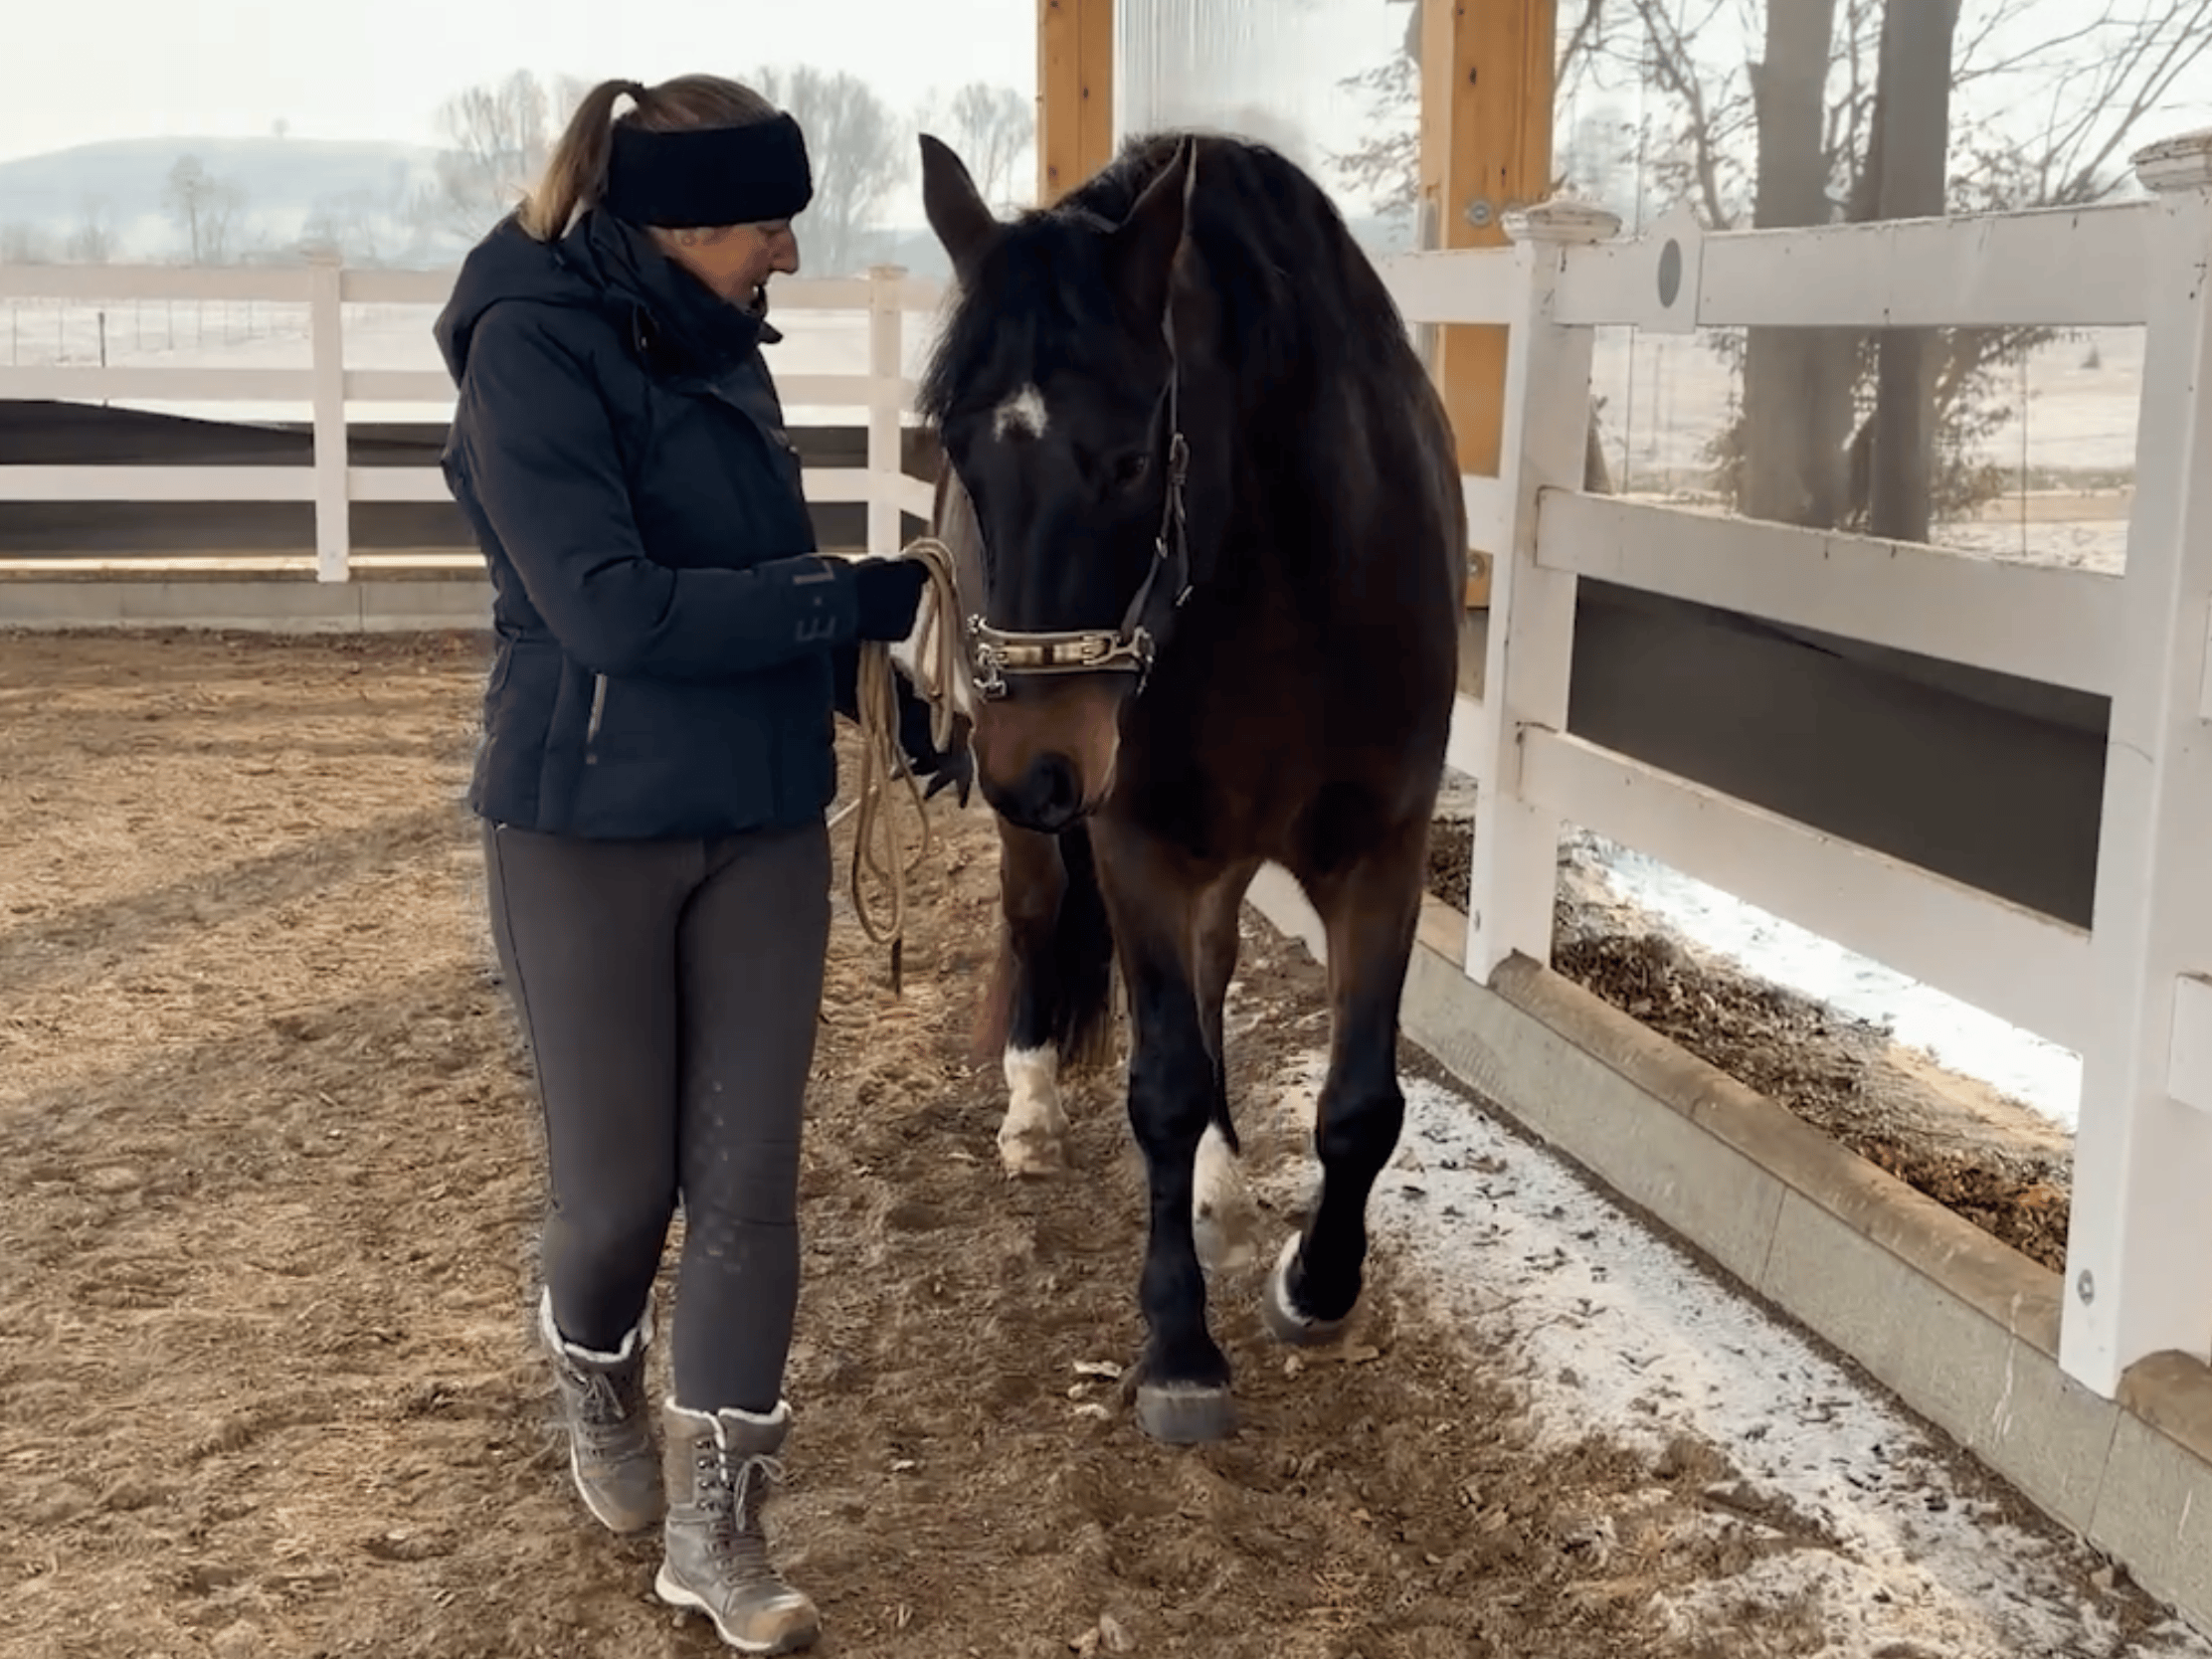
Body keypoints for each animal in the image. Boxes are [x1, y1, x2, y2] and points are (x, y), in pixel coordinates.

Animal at [909, 128, 1466, 1445]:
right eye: (958, 450)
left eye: (1126, 459)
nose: (1037, 766)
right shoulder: (1139, 843)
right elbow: (1158, 1086)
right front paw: (1177, 1347)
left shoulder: (1381, 851)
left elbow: (1361, 1102)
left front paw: (1316, 1284)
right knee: (1035, 921)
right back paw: (1032, 1109)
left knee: (1212, 975)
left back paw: (1218, 1184)